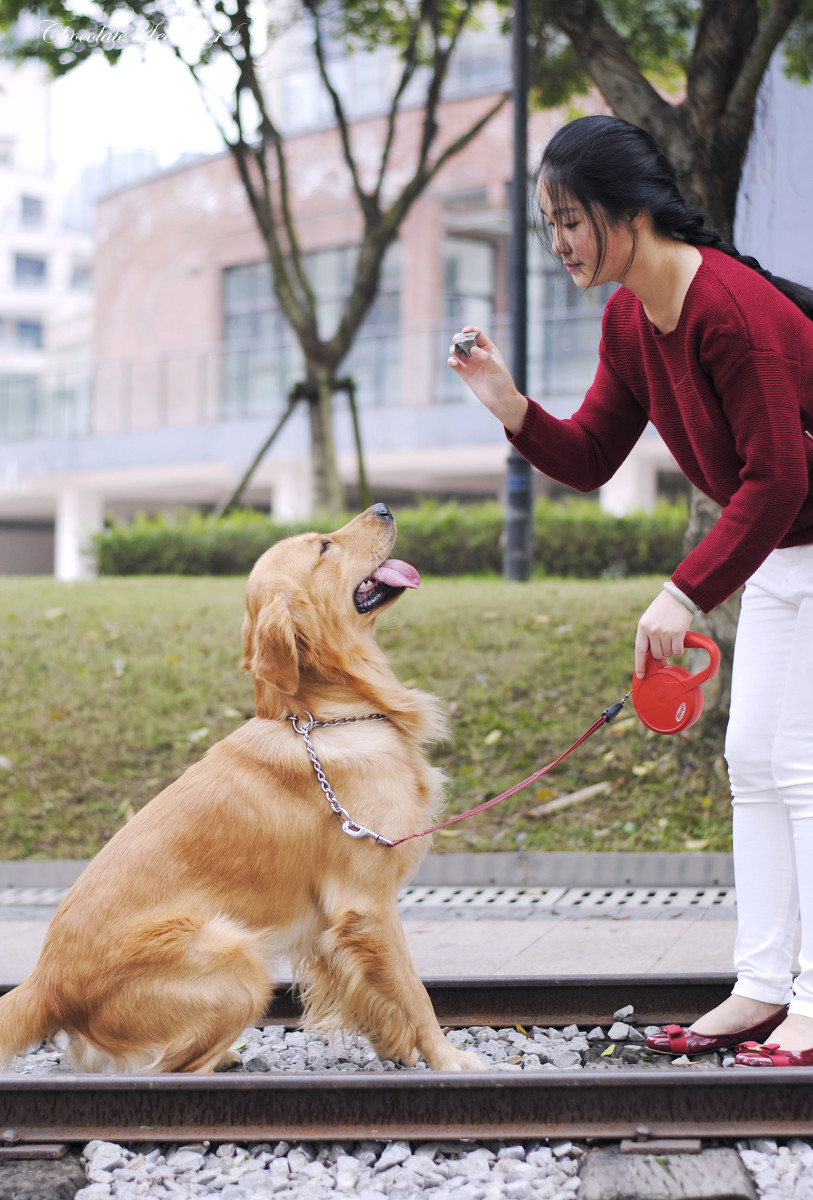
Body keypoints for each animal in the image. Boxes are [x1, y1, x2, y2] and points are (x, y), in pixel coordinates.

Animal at [0, 501, 482, 1075]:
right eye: (324, 546)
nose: (384, 507)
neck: (322, 717)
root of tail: (45, 984)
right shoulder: (367, 903)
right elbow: (414, 991)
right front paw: (449, 1059)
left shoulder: (333, 926)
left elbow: (374, 994)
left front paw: (398, 1048)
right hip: (238, 956)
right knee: (171, 1070)